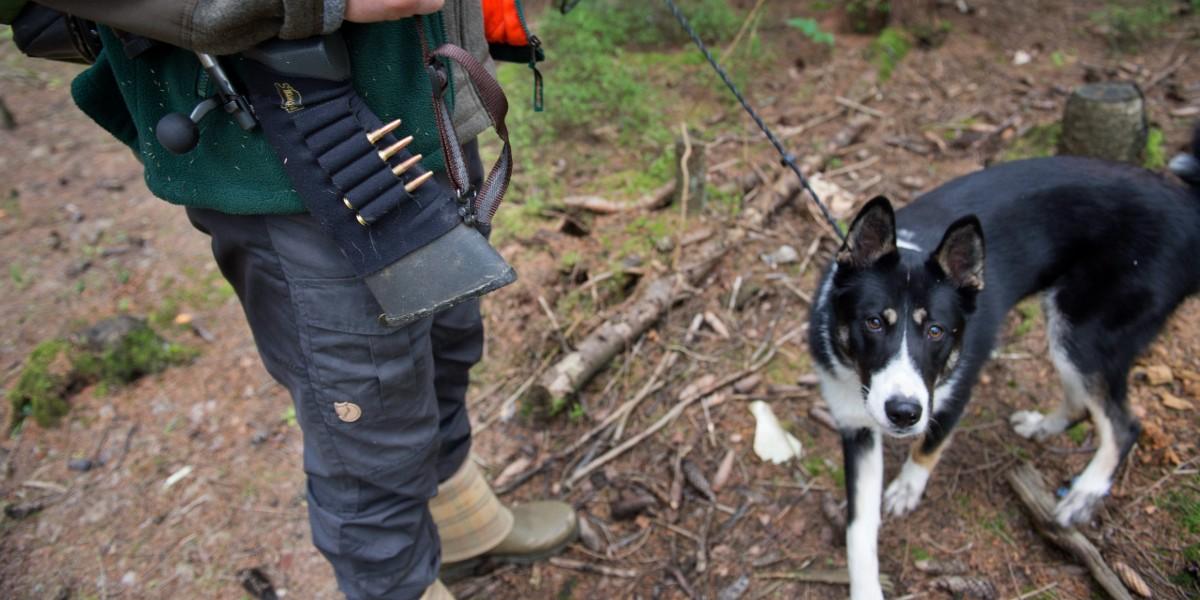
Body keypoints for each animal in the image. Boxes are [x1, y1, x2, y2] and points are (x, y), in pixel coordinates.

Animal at [806, 126, 1200, 595]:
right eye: (874, 322)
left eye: (936, 330)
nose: (903, 413)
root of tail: (1189, 207)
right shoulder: (856, 428)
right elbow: (859, 528)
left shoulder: (953, 392)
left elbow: (929, 445)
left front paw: (908, 486)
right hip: (1068, 325)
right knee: (1085, 403)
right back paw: (1044, 426)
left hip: (1085, 332)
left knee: (1124, 424)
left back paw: (1082, 495)